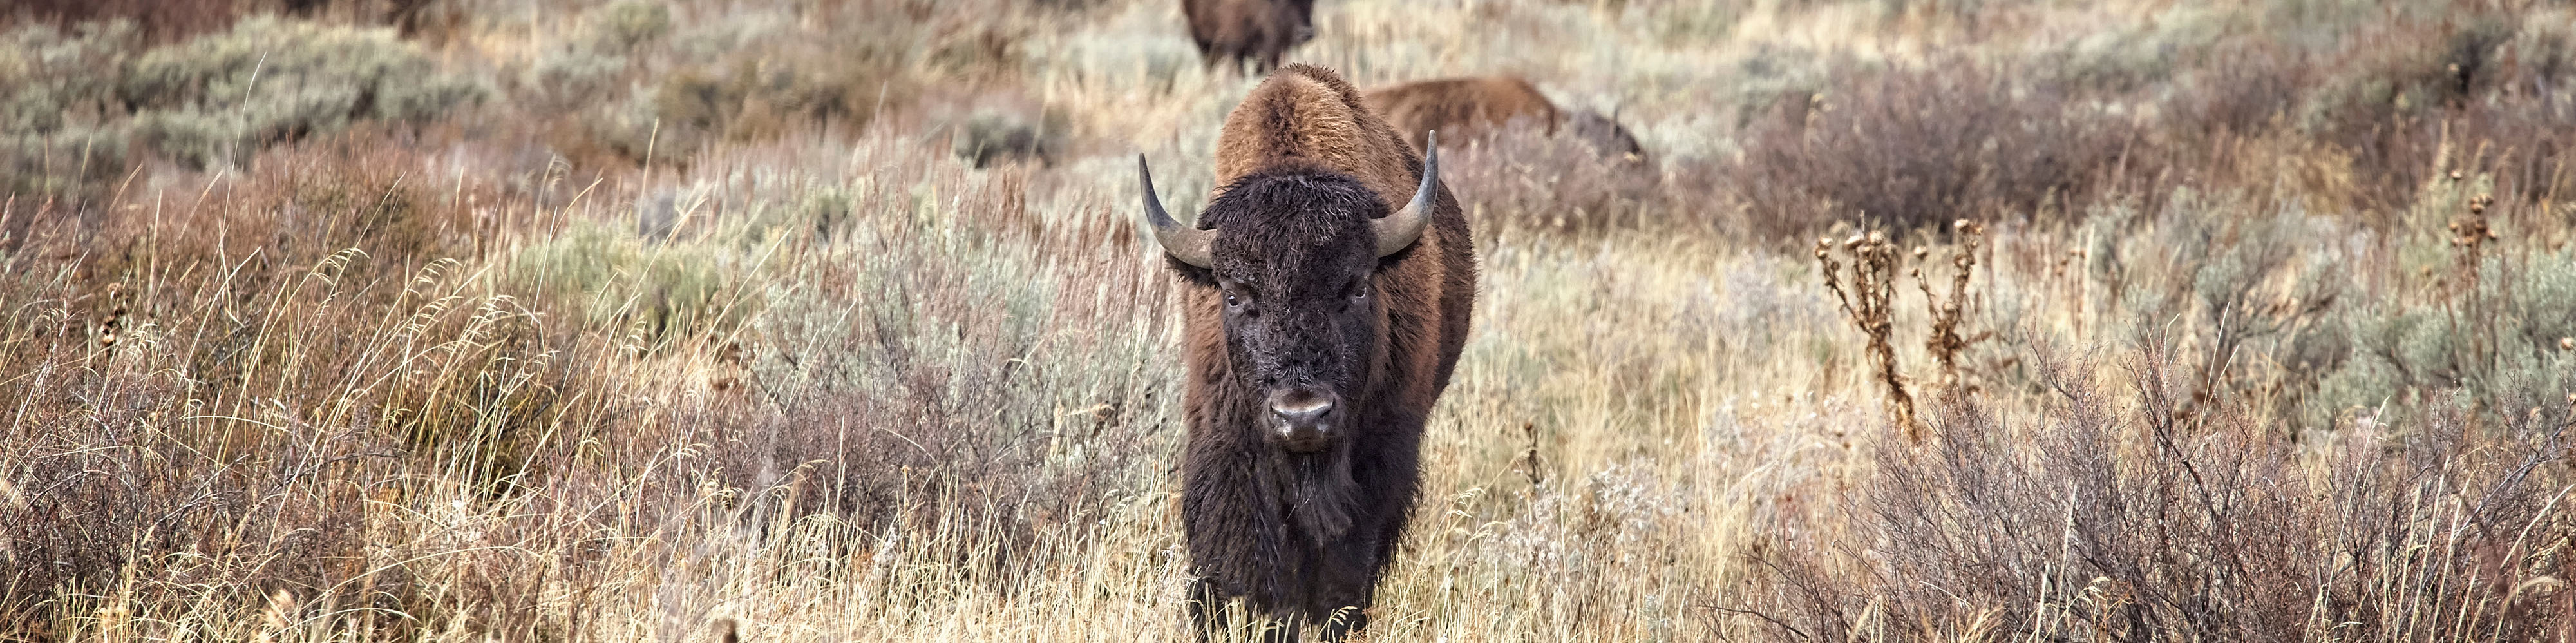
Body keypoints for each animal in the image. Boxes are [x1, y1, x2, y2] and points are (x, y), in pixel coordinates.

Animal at [1139, 63, 1476, 641]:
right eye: (1235, 295)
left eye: (1357, 287)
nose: (1303, 416)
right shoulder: (1227, 441)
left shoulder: (1380, 453)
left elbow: (1347, 559)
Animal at [1183, 0, 1317, 75]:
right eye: (1283, 2)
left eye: (1311, 0)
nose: (1306, 33)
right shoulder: (1234, 49)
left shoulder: (1274, 53)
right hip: (1202, 40)